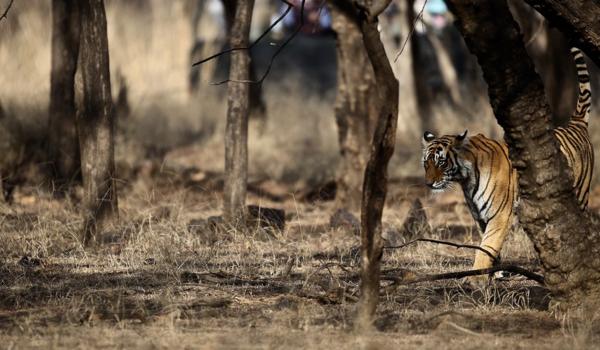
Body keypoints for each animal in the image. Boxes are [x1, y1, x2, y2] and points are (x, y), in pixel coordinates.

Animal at [420, 46, 592, 274]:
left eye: (441, 162)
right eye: (426, 163)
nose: (429, 183)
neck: (466, 179)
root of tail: (575, 124)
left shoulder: (500, 214)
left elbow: (488, 244)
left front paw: (476, 276)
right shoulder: (479, 216)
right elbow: (487, 245)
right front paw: (496, 270)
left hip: (579, 194)